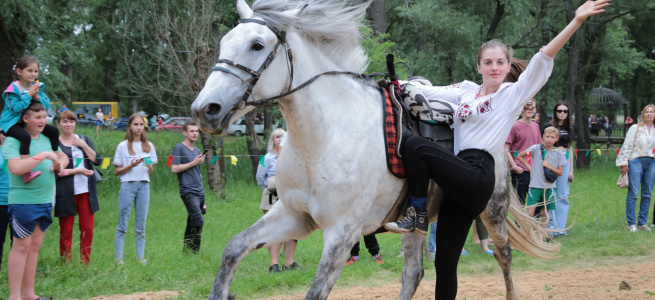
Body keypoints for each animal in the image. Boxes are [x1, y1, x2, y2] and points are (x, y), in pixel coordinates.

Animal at [192, 1, 560, 298]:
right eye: (224, 42)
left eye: (257, 45)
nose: (205, 109)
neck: (324, 140)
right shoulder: (293, 215)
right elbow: (233, 250)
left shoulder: (342, 233)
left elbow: (315, 291)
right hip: (418, 224)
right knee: (414, 273)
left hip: (491, 210)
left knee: (504, 256)